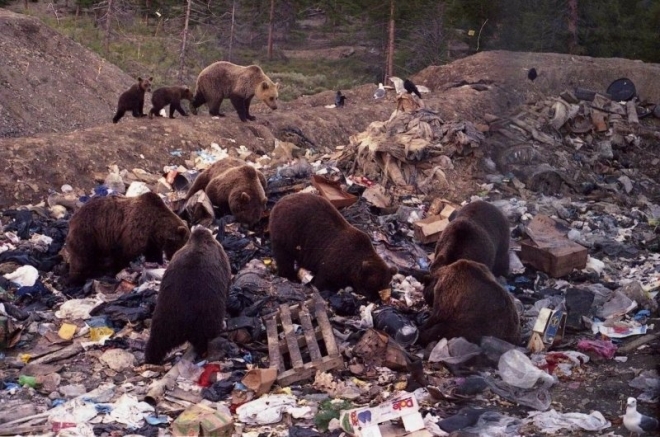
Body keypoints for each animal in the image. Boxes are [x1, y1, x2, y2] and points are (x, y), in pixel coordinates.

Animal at [144, 225, 229, 364]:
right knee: (204, 337)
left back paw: (151, 358)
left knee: (156, 342)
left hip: (164, 320)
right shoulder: (222, 258)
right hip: (205, 315)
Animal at [268, 192, 398, 300]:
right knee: (284, 258)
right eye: (372, 285)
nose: (376, 299)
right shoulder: (334, 261)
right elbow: (323, 280)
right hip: (287, 233)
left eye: (383, 285)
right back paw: (289, 276)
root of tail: (280, 201)